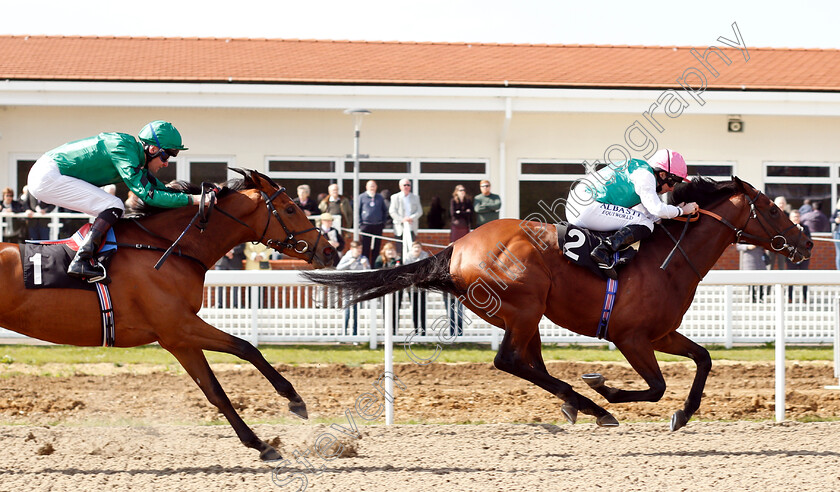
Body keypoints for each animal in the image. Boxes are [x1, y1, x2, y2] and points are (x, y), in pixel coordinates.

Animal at [0, 169, 334, 462]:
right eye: (290, 209)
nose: (329, 250)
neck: (164, 248)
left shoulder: (178, 339)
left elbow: (215, 391)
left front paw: (260, 444)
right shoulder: (178, 327)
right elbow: (246, 347)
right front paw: (294, 399)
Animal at [306, 178, 812, 430]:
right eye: (771, 209)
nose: (806, 242)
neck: (668, 261)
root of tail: (458, 248)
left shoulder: (662, 333)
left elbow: (703, 359)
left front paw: (683, 414)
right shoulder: (630, 338)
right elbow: (656, 387)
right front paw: (607, 390)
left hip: (525, 315)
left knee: (529, 363)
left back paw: (577, 405)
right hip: (523, 307)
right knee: (510, 361)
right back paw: (591, 405)